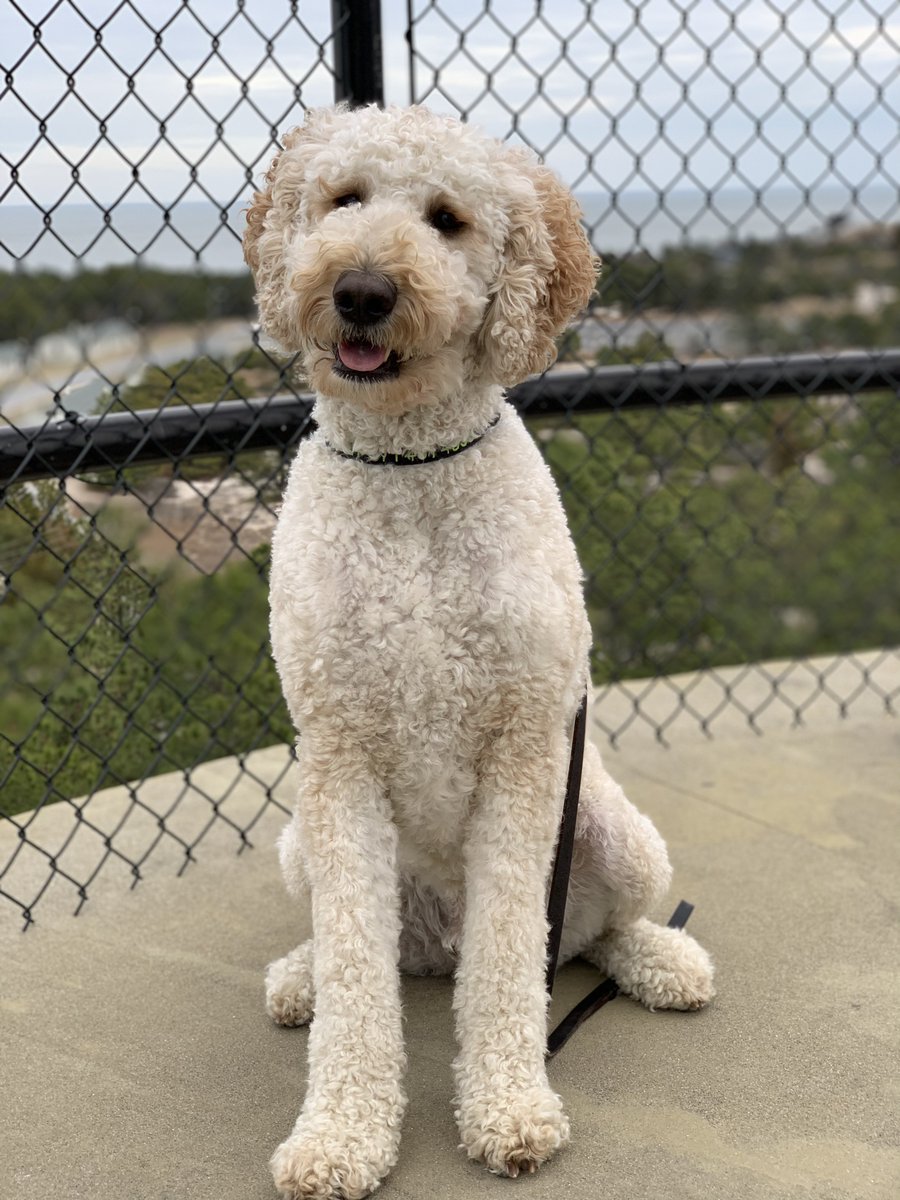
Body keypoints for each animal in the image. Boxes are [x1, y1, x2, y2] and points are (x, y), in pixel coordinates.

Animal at [243, 105, 715, 1200]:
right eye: (343, 199)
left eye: (448, 220)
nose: (361, 289)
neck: (410, 469)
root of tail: (434, 940)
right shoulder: (338, 759)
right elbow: (357, 975)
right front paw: (341, 1134)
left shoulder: (526, 748)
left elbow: (510, 957)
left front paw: (508, 1106)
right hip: (298, 843)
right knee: (356, 946)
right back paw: (299, 975)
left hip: (618, 834)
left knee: (588, 936)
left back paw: (662, 963)